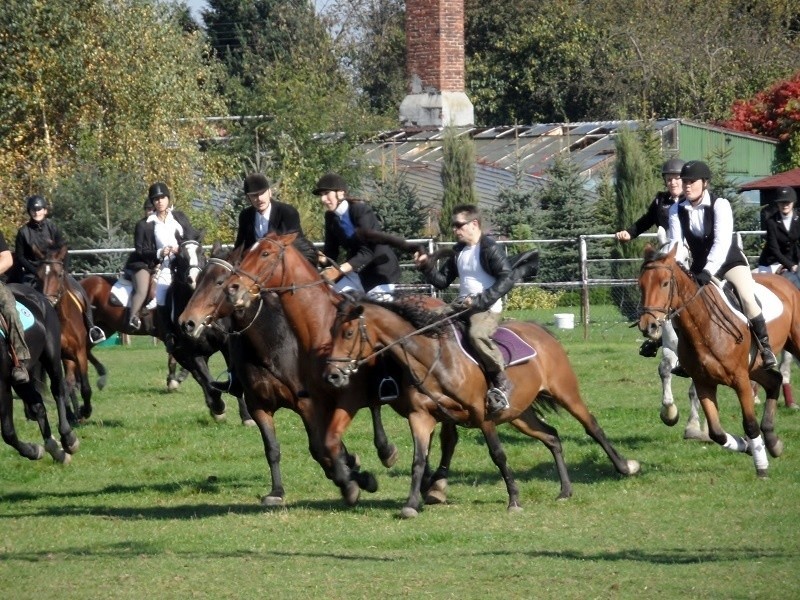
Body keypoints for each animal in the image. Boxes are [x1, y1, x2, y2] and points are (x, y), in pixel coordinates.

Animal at [0, 284, 79, 462]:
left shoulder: (2, 383)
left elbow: (8, 431)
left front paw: (33, 450)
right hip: (22, 375)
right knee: (37, 405)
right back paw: (55, 449)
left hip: (51, 355)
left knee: (58, 391)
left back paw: (68, 439)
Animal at [35, 244, 107, 422]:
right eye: (38, 275)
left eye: (60, 274)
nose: (48, 301)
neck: (62, 319)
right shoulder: (58, 356)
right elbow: (63, 386)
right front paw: (73, 412)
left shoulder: (78, 353)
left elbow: (85, 387)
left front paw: (85, 410)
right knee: (68, 383)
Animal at [176, 244, 400, 506]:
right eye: (200, 279)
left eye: (220, 282)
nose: (187, 322)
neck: (271, 346)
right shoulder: (259, 407)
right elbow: (273, 448)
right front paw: (277, 491)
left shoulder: (308, 405)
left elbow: (319, 447)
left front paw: (355, 479)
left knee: (374, 405)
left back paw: (385, 450)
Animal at [222, 233, 636, 516]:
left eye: (266, 253)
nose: (234, 287)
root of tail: (541, 332)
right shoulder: (340, 403)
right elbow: (336, 447)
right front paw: (368, 481)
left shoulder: (347, 399)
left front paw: (360, 478)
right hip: (519, 412)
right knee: (548, 436)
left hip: (562, 392)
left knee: (590, 424)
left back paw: (624, 466)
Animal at [636, 244, 800, 478]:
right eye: (641, 284)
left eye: (665, 283)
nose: (648, 326)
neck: (704, 326)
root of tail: (786, 283)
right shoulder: (703, 381)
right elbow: (716, 432)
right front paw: (747, 446)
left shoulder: (740, 380)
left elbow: (750, 425)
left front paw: (761, 466)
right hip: (755, 366)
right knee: (774, 381)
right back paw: (772, 441)